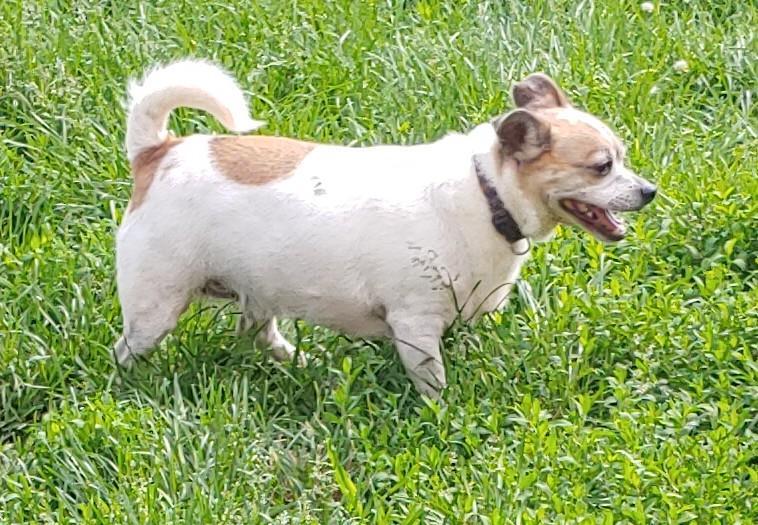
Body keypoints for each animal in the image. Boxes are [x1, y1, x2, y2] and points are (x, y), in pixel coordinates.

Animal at [116, 59, 656, 396]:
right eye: (602, 167)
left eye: (623, 157)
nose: (650, 191)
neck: (486, 193)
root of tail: (157, 151)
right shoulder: (416, 324)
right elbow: (433, 381)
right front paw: (443, 416)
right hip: (155, 306)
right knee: (128, 351)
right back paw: (133, 386)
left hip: (258, 291)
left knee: (258, 335)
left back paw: (304, 366)